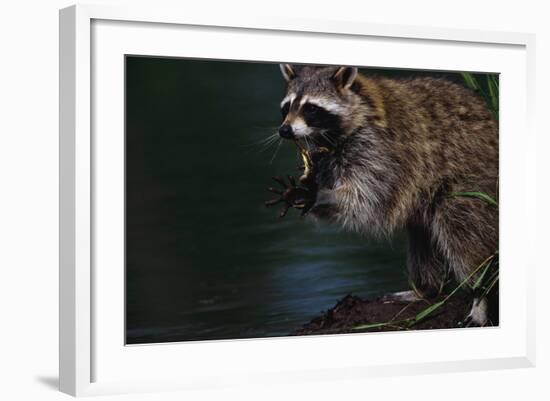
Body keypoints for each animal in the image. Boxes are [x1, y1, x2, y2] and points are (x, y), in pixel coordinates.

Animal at [270, 63, 500, 324]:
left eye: (311, 108)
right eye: (287, 107)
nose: (285, 130)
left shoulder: (381, 149)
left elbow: (368, 198)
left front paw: (321, 195)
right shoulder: (328, 155)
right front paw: (309, 189)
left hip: (471, 179)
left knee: (461, 230)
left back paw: (481, 294)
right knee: (420, 234)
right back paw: (426, 288)